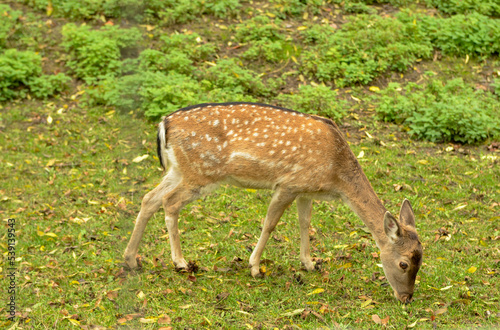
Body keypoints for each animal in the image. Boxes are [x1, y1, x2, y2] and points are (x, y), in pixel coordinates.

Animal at [122, 102, 422, 302]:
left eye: (422, 259)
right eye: (404, 264)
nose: (407, 298)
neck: (336, 176)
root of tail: (164, 124)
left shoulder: (305, 190)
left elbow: (304, 223)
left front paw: (310, 263)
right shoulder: (287, 184)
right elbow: (270, 224)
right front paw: (254, 267)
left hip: (178, 170)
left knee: (149, 199)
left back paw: (131, 259)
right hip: (201, 172)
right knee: (169, 202)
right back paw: (180, 262)